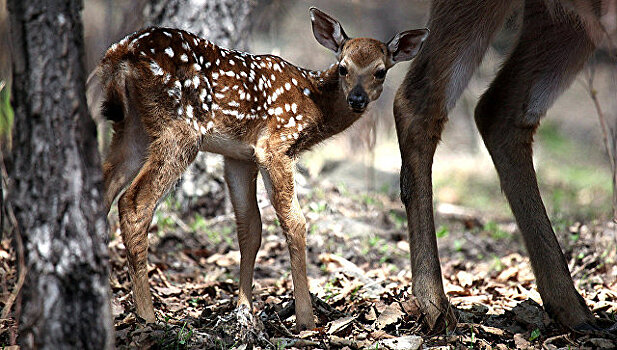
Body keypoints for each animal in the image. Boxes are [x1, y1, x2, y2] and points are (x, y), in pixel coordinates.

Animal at [100, 7, 428, 330]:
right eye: (343, 67)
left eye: (380, 71)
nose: (357, 98)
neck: (314, 102)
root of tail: (121, 52)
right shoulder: (275, 145)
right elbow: (295, 222)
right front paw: (306, 319)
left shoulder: (239, 156)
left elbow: (250, 227)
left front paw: (244, 310)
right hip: (179, 127)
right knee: (134, 202)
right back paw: (147, 316)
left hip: (132, 129)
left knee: (102, 191)